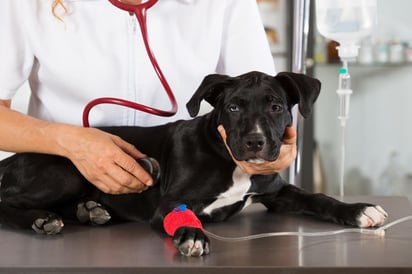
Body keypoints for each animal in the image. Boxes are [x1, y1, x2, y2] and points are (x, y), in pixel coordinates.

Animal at [0, 71, 386, 256]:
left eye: (277, 107)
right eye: (233, 107)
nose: (255, 142)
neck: (231, 162)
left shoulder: (276, 191)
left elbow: (316, 197)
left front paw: (358, 210)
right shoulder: (171, 202)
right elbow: (181, 215)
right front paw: (192, 235)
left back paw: (90, 211)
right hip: (65, 170)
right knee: (6, 201)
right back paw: (41, 219)